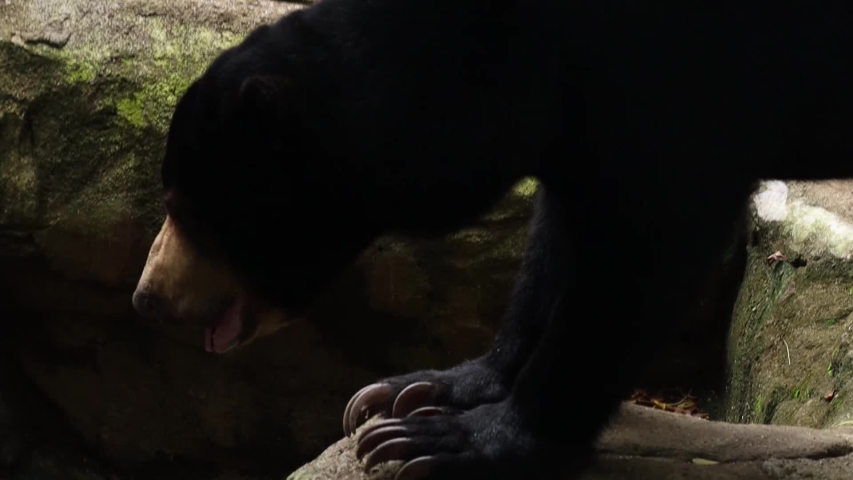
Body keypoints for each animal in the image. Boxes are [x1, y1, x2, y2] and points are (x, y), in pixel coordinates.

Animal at [131, 0, 853, 478]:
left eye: (181, 207)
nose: (147, 298)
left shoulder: (674, 81)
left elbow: (639, 256)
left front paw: (451, 442)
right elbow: (554, 249)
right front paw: (419, 390)